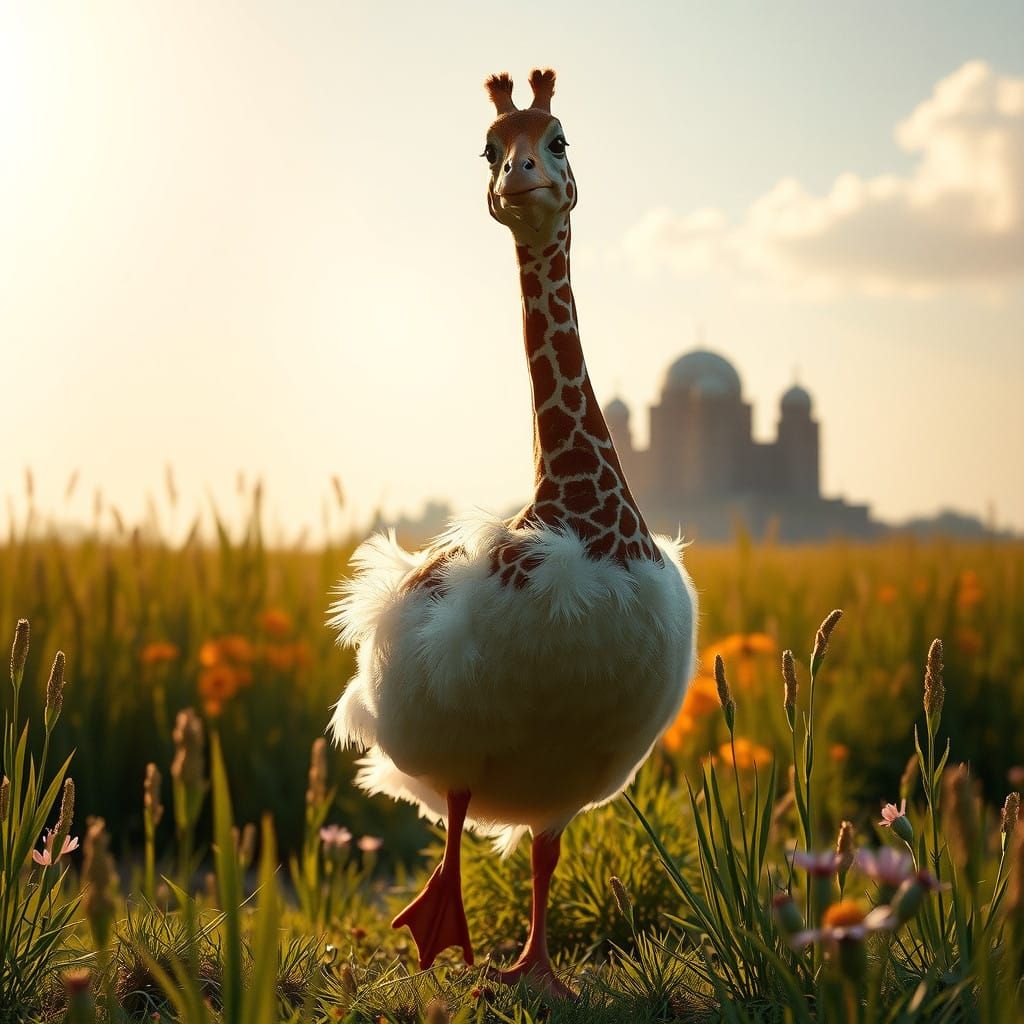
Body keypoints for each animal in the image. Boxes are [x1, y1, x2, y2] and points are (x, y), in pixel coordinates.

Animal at [328, 69, 697, 1000]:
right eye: (490, 148)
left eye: (556, 140)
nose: (520, 177)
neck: (583, 513)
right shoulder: (473, 728)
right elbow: (461, 821)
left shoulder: (571, 779)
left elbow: (548, 859)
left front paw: (540, 973)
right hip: (439, 734)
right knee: (457, 819)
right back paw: (441, 930)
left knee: (529, 848)